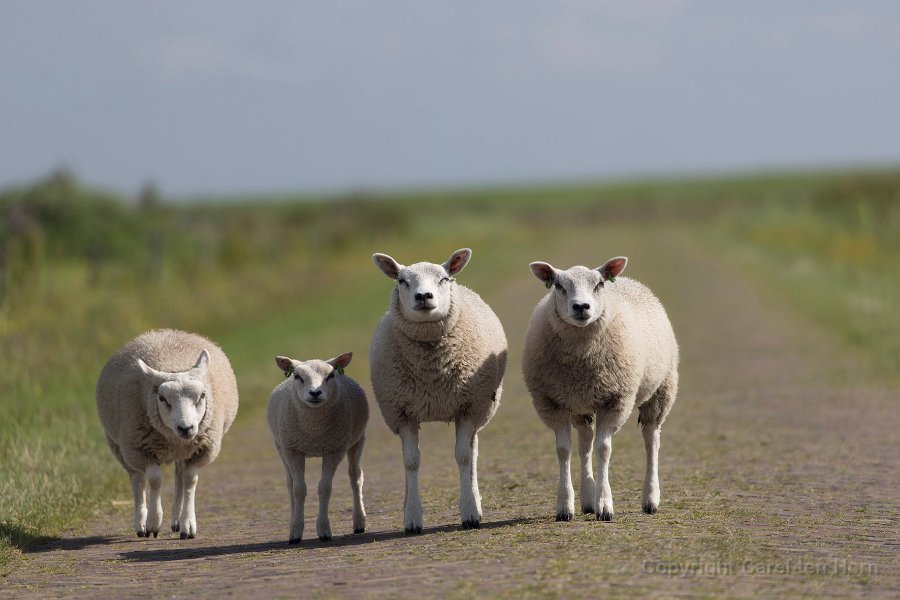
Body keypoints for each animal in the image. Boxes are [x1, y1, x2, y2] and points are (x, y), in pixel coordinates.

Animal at [96, 328, 239, 540]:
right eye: (162, 398)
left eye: (202, 396)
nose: (186, 428)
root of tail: (161, 332)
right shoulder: (140, 448)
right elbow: (155, 480)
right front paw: (153, 522)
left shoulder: (200, 449)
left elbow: (189, 480)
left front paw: (187, 524)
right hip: (120, 448)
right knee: (137, 479)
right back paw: (141, 523)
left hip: (182, 451)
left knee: (179, 476)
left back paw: (176, 521)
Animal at [266, 352, 368, 544]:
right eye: (297, 376)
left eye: (331, 375)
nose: (315, 392)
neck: (314, 430)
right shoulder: (293, 449)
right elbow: (298, 490)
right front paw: (295, 531)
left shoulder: (334, 450)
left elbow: (324, 488)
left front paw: (324, 530)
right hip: (281, 447)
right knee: (290, 483)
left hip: (357, 440)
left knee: (355, 477)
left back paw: (359, 522)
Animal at [368, 248, 506, 536]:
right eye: (402, 281)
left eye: (443, 279)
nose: (423, 296)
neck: (432, 371)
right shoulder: (403, 413)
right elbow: (411, 461)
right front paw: (412, 517)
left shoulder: (467, 407)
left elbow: (463, 457)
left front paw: (470, 513)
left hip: (480, 408)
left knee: (472, 453)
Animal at [524, 255, 680, 524]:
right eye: (559, 286)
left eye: (599, 284)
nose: (581, 307)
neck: (582, 357)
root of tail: (629, 279)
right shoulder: (552, 402)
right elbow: (564, 450)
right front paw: (565, 506)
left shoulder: (616, 401)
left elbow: (603, 449)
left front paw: (605, 505)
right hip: (580, 403)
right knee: (585, 442)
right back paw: (587, 497)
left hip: (661, 390)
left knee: (651, 440)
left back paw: (650, 498)